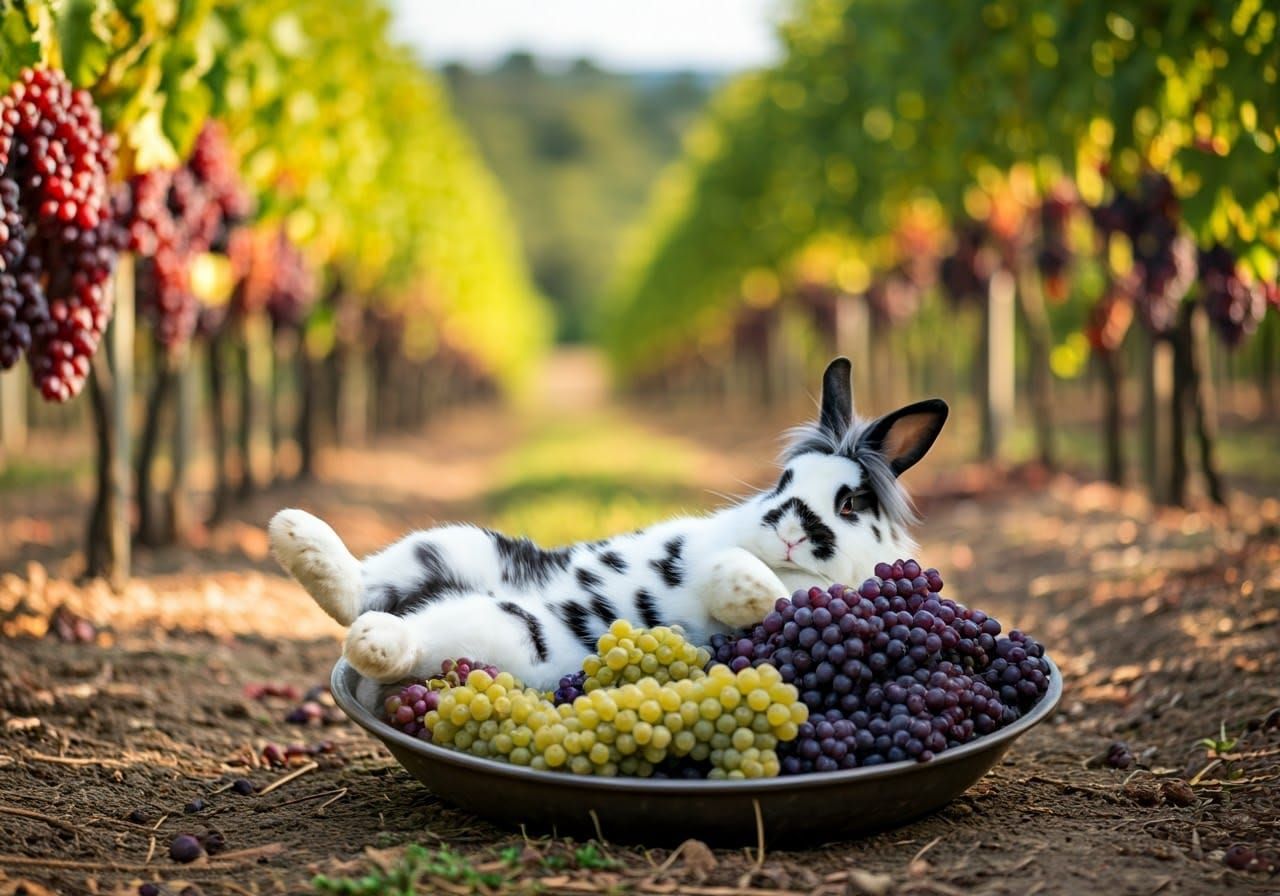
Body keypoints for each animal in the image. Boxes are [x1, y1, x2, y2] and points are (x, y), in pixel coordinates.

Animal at [269, 357, 948, 693]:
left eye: (849, 504)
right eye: (785, 481)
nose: (787, 532)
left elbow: (764, 595)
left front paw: (749, 585)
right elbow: (737, 568)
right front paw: (744, 573)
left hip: (503, 633)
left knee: (394, 636)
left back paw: (370, 637)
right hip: (457, 546)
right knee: (357, 590)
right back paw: (292, 532)